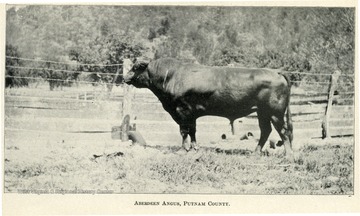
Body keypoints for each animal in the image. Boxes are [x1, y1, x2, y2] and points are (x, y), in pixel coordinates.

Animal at [124, 58, 292, 157]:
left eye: (135, 67)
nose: (124, 78)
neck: (171, 77)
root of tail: (277, 72)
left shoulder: (182, 110)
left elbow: (184, 131)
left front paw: (183, 149)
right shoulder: (191, 113)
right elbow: (192, 130)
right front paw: (194, 148)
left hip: (275, 112)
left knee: (283, 131)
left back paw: (288, 155)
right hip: (263, 112)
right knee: (266, 130)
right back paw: (255, 153)